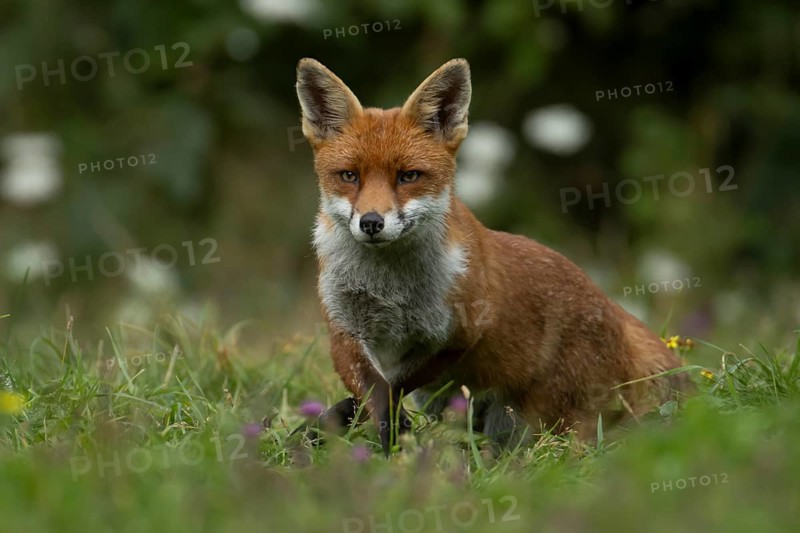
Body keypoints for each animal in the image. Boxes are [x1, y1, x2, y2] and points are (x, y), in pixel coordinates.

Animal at [295, 57, 689, 455]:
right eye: (349, 176)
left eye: (409, 176)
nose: (372, 223)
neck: (389, 286)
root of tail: (613, 311)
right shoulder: (344, 328)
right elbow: (374, 389)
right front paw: (353, 430)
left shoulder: (457, 335)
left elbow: (390, 386)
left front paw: (387, 439)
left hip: (535, 421)